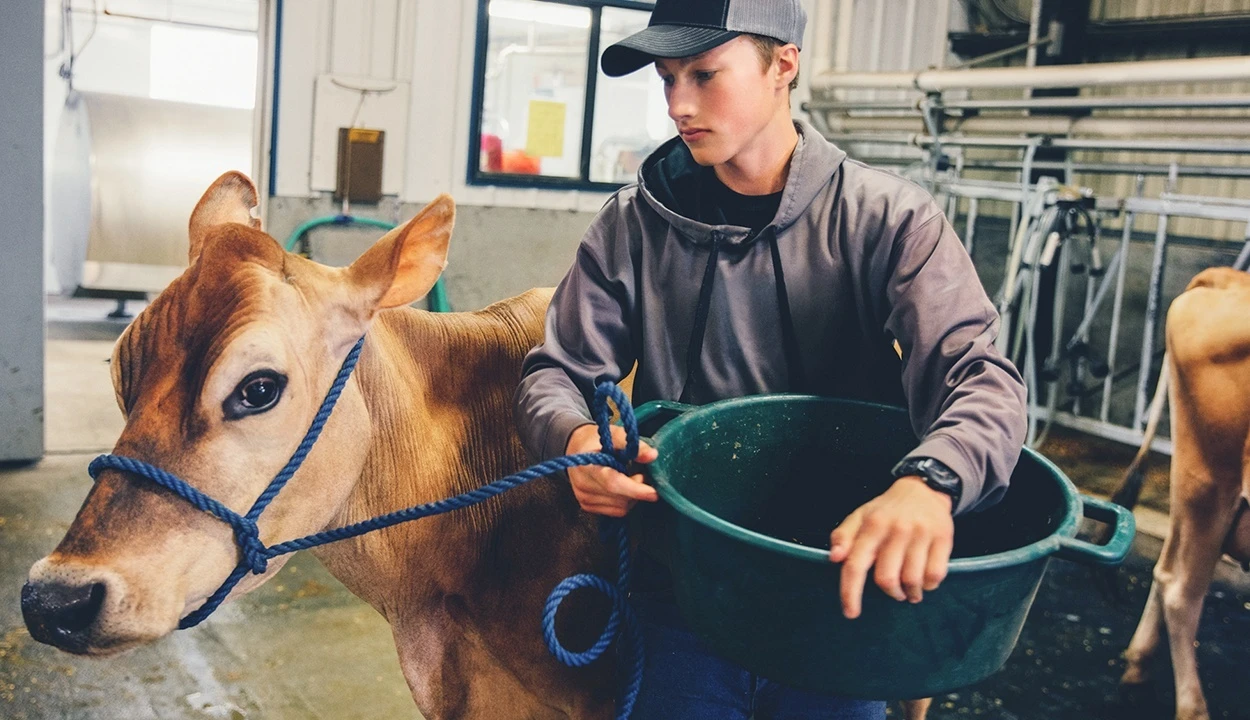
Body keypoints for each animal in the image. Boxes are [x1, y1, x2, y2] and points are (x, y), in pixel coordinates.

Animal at [1105, 266, 1250, 720]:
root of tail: (1225, 278)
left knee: (1168, 565)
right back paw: (1192, 707)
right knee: (1181, 588)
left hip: (1191, 477)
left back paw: (1137, 667)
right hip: (1212, 479)